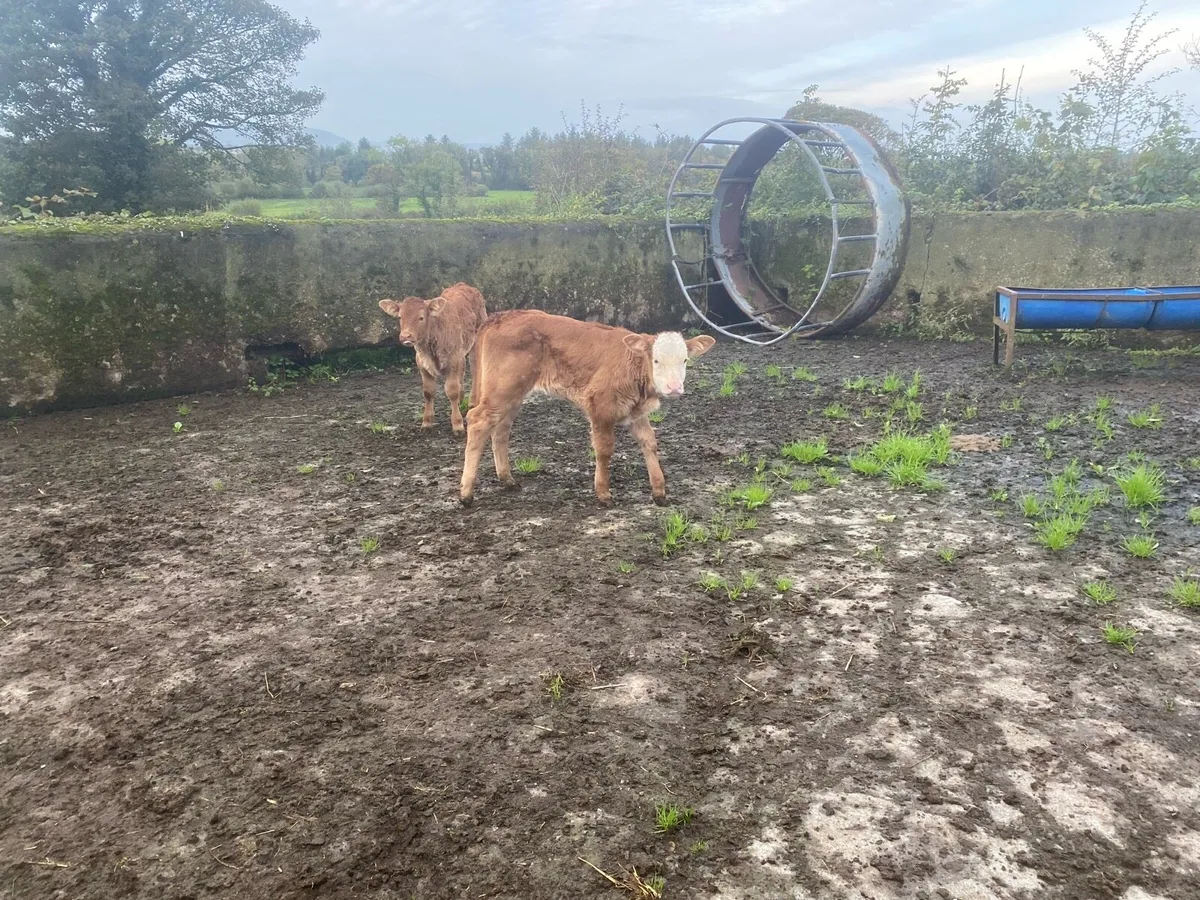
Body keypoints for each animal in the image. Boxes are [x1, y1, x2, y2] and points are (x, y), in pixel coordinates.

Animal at [378, 282, 487, 434]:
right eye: (400, 317)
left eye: (421, 317)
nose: (406, 336)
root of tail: (464, 285)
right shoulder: (422, 364)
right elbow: (428, 392)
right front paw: (427, 422)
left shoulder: (453, 360)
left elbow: (451, 390)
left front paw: (457, 424)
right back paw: (461, 400)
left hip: (476, 340)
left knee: (476, 368)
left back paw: (472, 401)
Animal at [459, 310, 716, 507]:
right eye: (656, 360)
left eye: (685, 360)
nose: (674, 387)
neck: (632, 366)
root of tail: (501, 316)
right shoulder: (600, 406)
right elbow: (604, 450)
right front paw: (603, 494)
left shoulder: (635, 412)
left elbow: (650, 443)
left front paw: (659, 492)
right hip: (502, 390)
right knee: (478, 420)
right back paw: (466, 493)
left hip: (513, 395)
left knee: (500, 430)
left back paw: (507, 479)